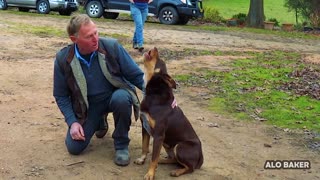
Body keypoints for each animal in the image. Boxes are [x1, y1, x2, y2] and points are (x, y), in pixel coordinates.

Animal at [134, 47, 202, 179]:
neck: (153, 94)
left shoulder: (159, 135)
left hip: (180, 146)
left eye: (160, 61)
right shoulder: (145, 127)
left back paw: (177, 171)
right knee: (174, 159)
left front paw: (150, 174)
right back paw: (163, 161)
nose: (155, 48)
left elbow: (153, 157)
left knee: (190, 168)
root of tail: (201, 157)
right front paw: (142, 159)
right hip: (167, 144)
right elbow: (144, 147)